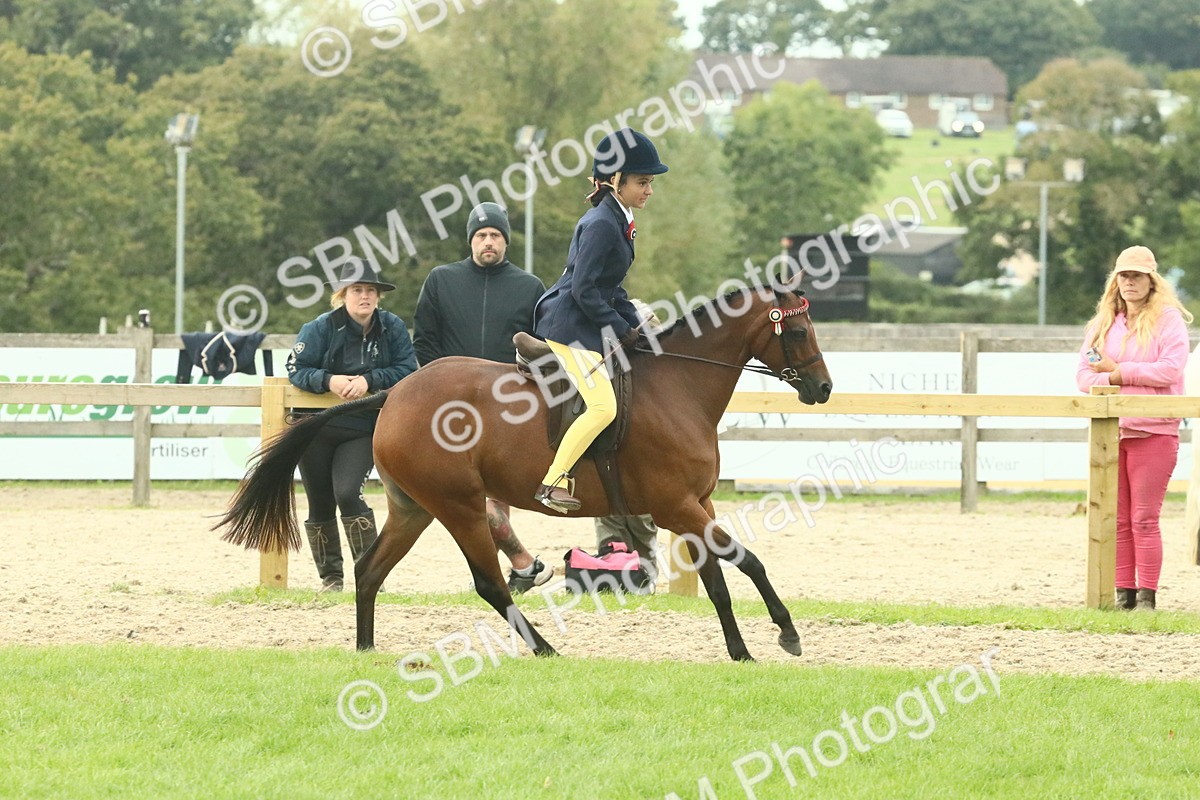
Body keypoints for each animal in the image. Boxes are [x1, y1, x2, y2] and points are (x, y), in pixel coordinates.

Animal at [216, 283, 832, 662]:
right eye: (799, 331)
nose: (823, 388)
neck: (678, 387)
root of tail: (396, 392)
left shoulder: (695, 506)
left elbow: (718, 581)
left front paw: (741, 651)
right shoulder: (677, 506)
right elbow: (747, 561)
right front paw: (787, 633)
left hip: (414, 509)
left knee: (370, 572)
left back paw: (366, 649)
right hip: (460, 506)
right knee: (488, 582)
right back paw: (544, 648)